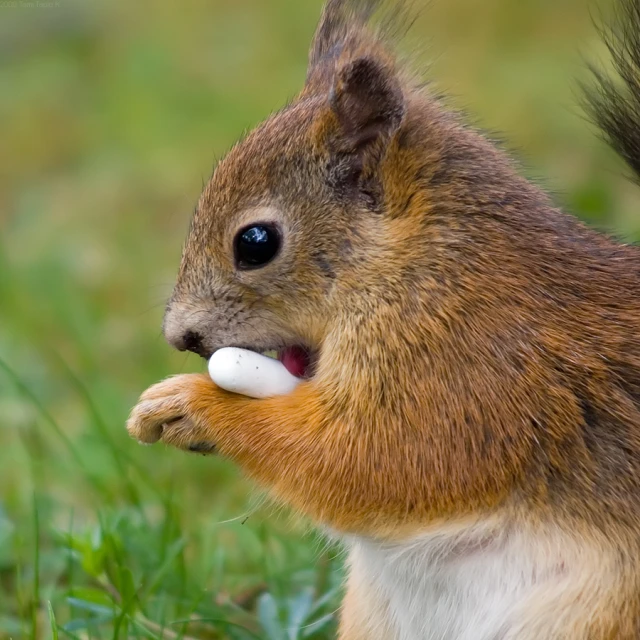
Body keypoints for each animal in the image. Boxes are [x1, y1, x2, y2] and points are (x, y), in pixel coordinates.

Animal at [126, 0, 640, 636]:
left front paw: (189, 405)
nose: (181, 336)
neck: (423, 266)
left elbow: (372, 460)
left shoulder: (467, 372)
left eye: (255, 242)